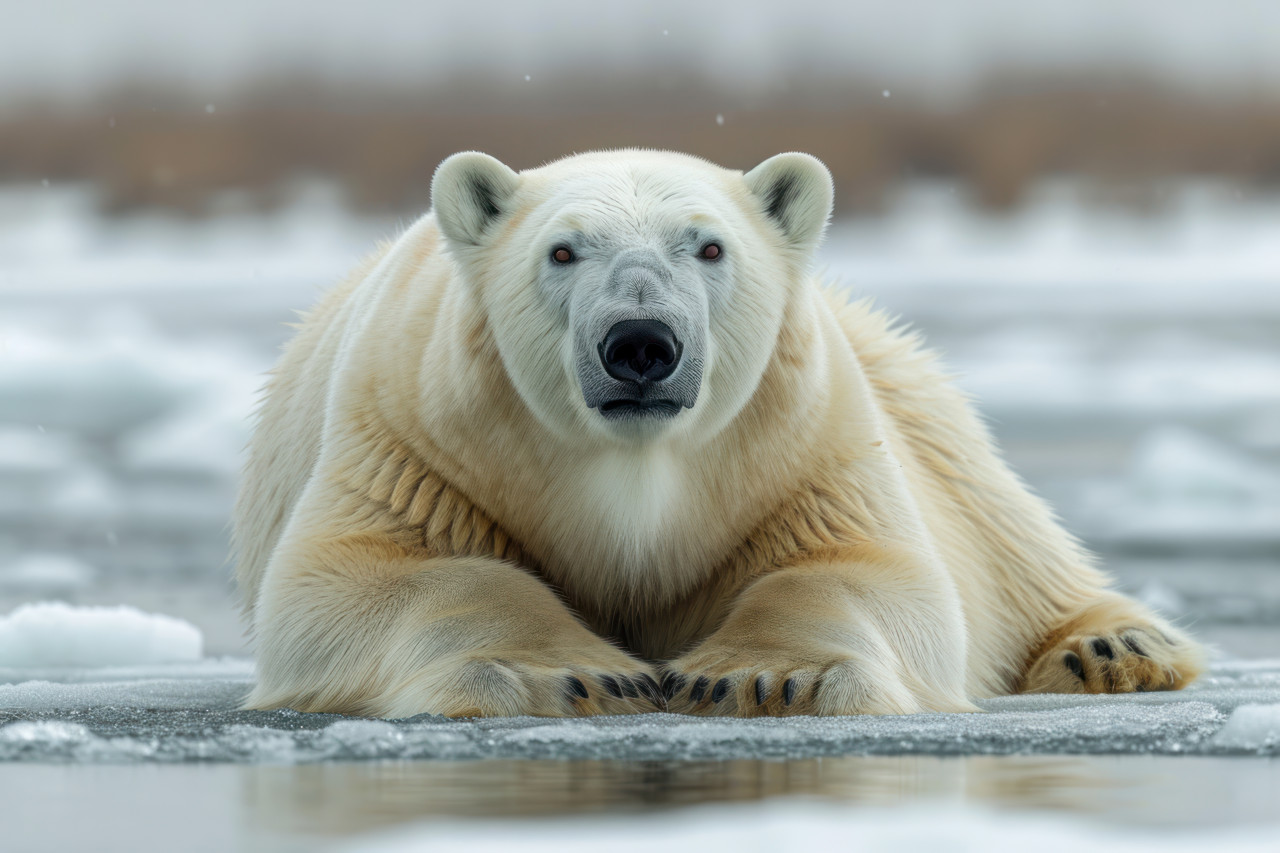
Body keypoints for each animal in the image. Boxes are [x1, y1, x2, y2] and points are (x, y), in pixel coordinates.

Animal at [233, 149, 1204, 718]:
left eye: (708, 247)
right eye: (562, 250)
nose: (640, 343)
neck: (635, 469)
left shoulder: (807, 453)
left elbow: (873, 572)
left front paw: (764, 675)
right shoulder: (415, 446)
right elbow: (354, 579)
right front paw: (579, 673)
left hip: (906, 387)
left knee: (1001, 519)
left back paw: (1111, 648)